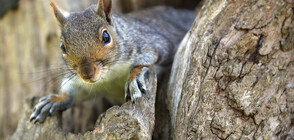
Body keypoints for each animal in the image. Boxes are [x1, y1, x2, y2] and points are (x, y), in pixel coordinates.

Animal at [29, 0, 195, 122]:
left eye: (106, 37)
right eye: (62, 46)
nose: (87, 73)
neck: (110, 75)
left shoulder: (154, 45)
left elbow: (147, 61)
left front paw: (134, 78)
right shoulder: (82, 84)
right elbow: (74, 92)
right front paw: (55, 100)